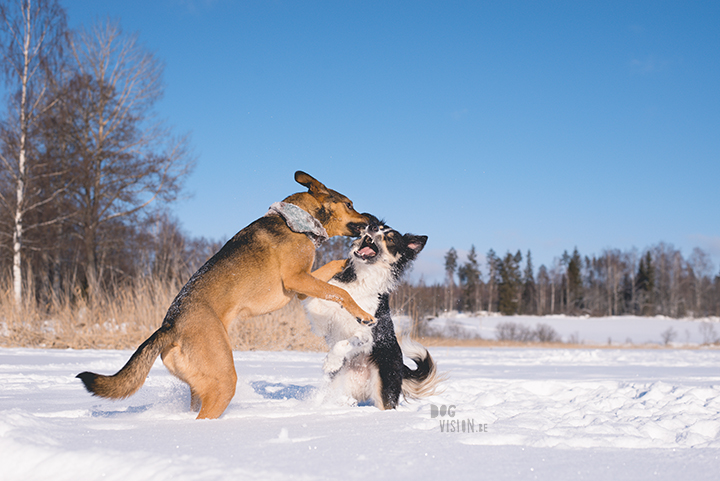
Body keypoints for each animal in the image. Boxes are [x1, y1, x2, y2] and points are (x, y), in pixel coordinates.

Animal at [76, 172, 374, 416]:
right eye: (349, 204)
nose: (372, 220)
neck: (298, 221)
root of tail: (170, 326)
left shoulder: (301, 286)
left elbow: (335, 266)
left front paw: (352, 262)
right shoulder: (296, 279)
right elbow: (339, 292)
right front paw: (364, 315)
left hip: (201, 386)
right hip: (223, 379)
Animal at [302, 222, 442, 408]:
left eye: (391, 238)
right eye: (379, 226)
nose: (372, 226)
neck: (363, 276)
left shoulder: (369, 334)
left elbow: (346, 342)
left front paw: (331, 361)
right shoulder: (321, 320)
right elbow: (325, 298)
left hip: (385, 389)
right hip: (336, 384)